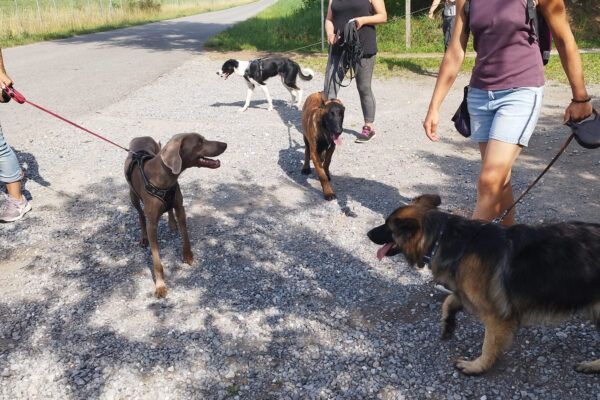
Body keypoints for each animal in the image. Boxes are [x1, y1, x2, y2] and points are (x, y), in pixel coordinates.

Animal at [123, 134, 226, 296]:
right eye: (199, 142)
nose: (225, 144)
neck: (164, 178)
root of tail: (140, 137)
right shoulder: (152, 224)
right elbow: (157, 261)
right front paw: (160, 285)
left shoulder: (180, 208)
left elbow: (186, 237)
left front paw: (188, 256)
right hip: (133, 196)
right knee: (140, 215)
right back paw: (143, 237)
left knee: (169, 209)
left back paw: (172, 224)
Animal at [366, 195, 600, 376]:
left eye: (387, 226)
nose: (367, 234)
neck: (442, 239)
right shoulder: (467, 292)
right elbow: (449, 300)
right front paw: (448, 324)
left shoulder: (496, 316)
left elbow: (489, 345)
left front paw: (476, 367)